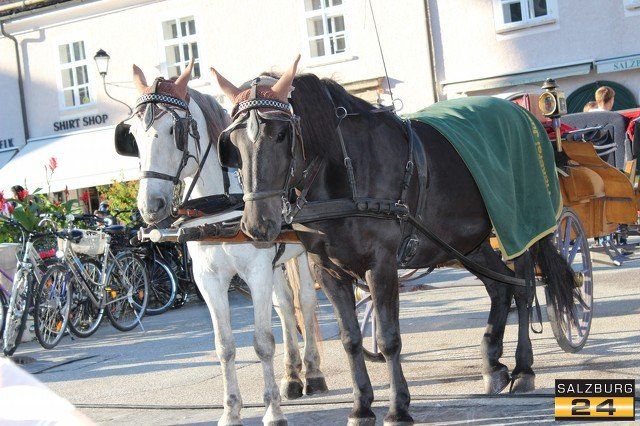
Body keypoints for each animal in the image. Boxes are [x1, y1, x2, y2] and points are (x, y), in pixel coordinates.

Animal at [121, 61, 327, 425]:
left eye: (175, 130)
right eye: (132, 135)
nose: (150, 206)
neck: (218, 206)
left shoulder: (256, 271)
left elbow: (262, 343)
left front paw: (272, 411)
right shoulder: (209, 280)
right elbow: (224, 346)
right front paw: (231, 411)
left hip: (299, 252)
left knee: (305, 300)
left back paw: (313, 372)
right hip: (275, 260)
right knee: (285, 306)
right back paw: (292, 376)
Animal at [210, 58, 578, 425]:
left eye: (281, 134)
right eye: (233, 143)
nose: (257, 224)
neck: (346, 170)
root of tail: (521, 113)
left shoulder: (381, 264)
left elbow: (389, 339)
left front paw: (398, 407)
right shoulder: (327, 271)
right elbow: (350, 340)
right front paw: (361, 406)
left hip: (518, 228)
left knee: (523, 288)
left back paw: (523, 368)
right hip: (467, 242)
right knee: (498, 288)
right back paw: (492, 363)